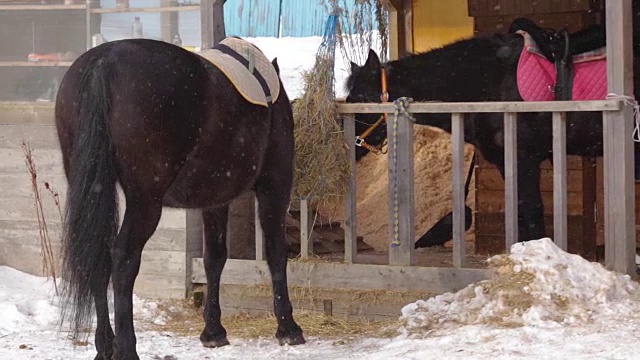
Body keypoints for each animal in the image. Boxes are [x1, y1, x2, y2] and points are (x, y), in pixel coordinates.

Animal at [55, 37, 304, 360]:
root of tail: (104, 62)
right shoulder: (274, 188)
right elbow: (276, 254)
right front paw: (288, 327)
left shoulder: (215, 200)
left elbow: (214, 258)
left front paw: (213, 331)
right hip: (145, 202)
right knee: (123, 258)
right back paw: (127, 347)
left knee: (97, 256)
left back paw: (105, 345)